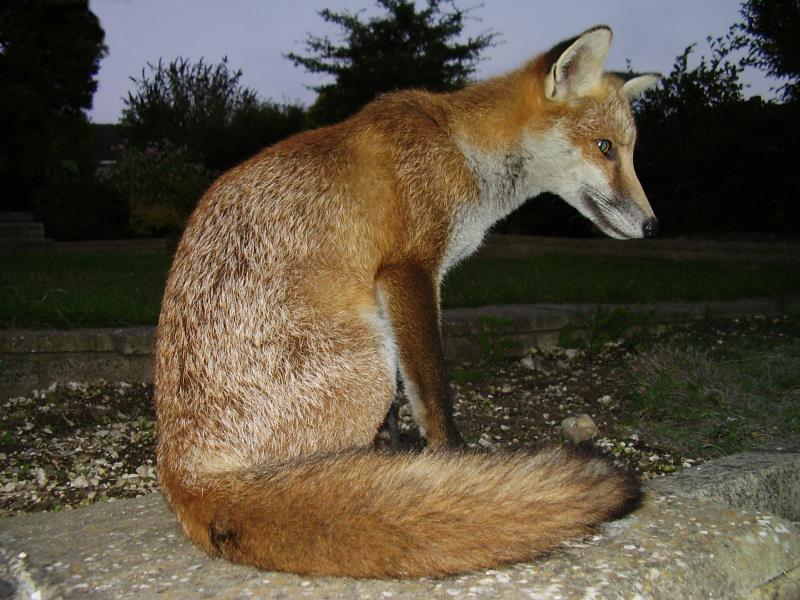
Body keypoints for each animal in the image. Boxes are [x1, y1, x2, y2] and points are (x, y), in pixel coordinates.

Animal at [156, 25, 664, 580]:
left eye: (630, 151)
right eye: (605, 148)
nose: (652, 226)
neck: (462, 149)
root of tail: (184, 477)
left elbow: (409, 402)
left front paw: (409, 455)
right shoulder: (410, 270)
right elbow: (433, 391)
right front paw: (454, 461)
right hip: (370, 361)